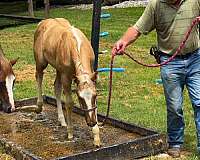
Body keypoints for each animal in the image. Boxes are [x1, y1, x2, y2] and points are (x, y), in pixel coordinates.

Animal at [33, 18, 101, 146]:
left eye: (95, 95)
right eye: (80, 98)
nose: (91, 122)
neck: (75, 45)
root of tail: (42, 22)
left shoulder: (90, 73)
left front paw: (96, 136)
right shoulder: (66, 77)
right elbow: (69, 103)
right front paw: (70, 133)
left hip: (58, 69)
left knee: (56, 87)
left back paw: (62, 120)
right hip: (41, 62)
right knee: (39, 77)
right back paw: (39, 107)